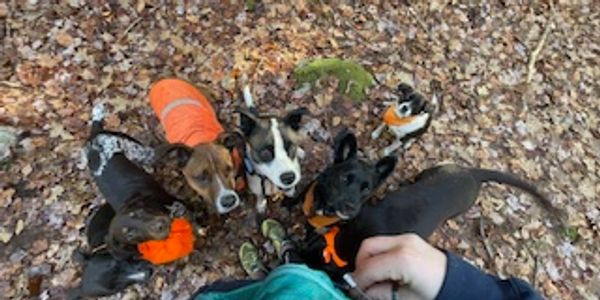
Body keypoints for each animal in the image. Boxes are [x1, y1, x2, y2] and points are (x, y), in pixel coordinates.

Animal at [237, 85, 310, 214]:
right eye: (265, 152)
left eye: (289, 146)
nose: (289, 178)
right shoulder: (256, 184)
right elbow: (260, 195)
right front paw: (261, 204)